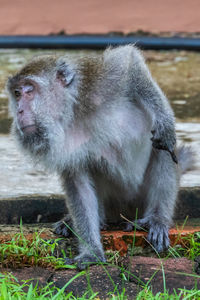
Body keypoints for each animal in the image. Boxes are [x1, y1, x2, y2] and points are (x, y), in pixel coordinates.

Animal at [7, 45, 193, 270]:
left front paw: (165, 121)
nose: (19, 111)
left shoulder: (99, 81)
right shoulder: (63, 148)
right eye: (17, 94)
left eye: (29, 90)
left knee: (162, 152)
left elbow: (129, 63)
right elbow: (78, 185)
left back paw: (156, 218)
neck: (73, 113)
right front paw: (92, 252)